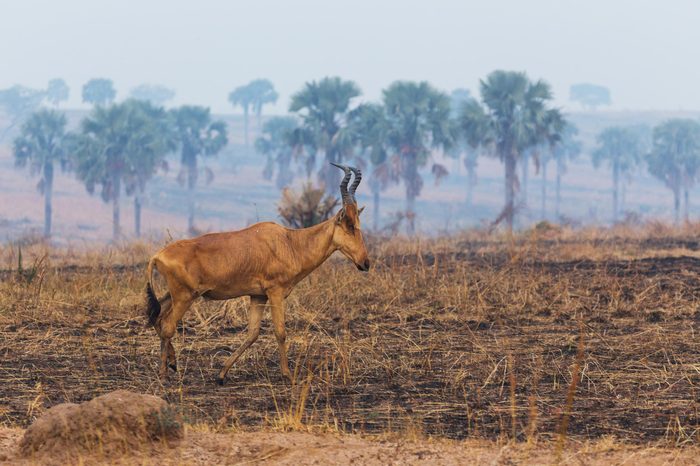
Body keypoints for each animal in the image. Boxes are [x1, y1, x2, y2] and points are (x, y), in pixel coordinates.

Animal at [144, 166, 372, 384]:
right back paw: (164, 375)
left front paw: (221, 375)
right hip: (184, 297)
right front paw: (288, 375)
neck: (289, 242)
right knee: (168, 325)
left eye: (359, 223)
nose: (365, 263)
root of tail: (157, 255)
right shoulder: (275, 292)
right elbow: (280, 332)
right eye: (349, 225)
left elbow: (252, 333)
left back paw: (172, 364)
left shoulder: (257, 295)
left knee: (158, 317)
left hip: (175, 295)